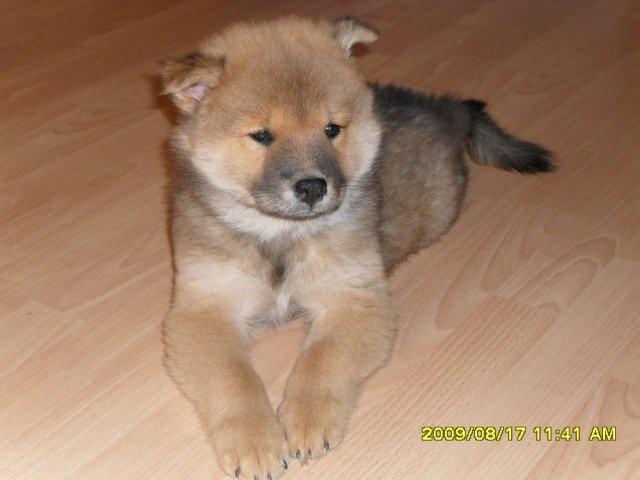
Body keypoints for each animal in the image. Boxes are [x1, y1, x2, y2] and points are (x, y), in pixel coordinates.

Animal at [159, 15, 552, 480]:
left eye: (332, 129)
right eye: (261, 135)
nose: (312, 187)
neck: (281, 234)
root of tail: (443, 108)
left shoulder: (353, 298)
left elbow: (322, 360)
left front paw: (306, 421)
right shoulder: (206, 308)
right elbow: (232, 377)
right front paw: (254, 442)